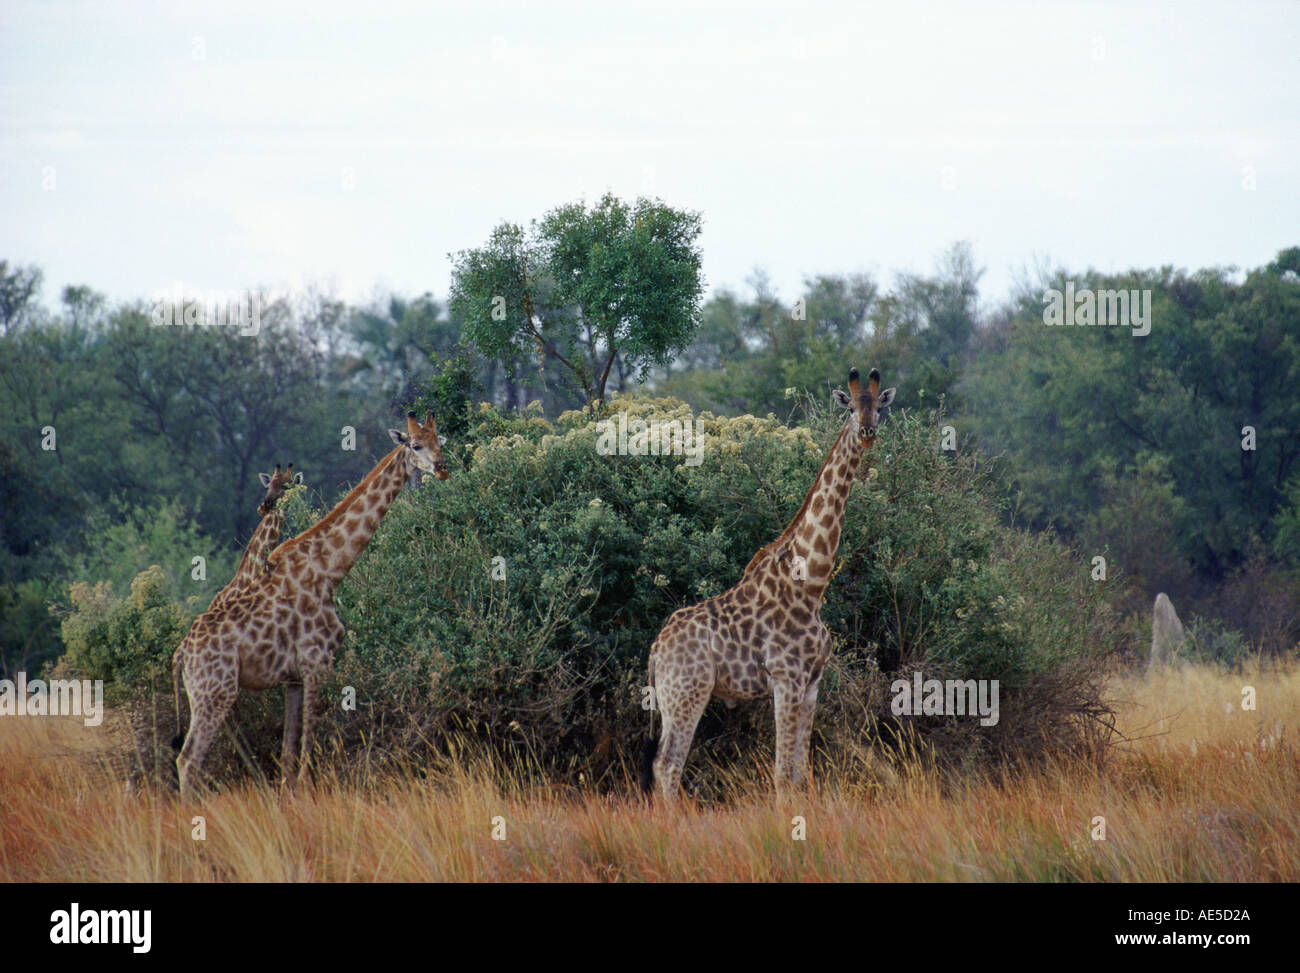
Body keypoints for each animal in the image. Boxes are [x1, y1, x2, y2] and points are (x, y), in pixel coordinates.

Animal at [172, 413, 449, 796]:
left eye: (440, 441)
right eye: (416, 444)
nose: (442, 468)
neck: (329, 569)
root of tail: (182, 655)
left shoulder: (292, 678)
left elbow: (289, 753)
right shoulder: (318, 663)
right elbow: (309, 746)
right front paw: (306, 791)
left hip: (209, 694)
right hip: (215, 691)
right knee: (188, 760)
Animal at [639, 364, 894, 796]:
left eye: (880, 408)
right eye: (849, 409)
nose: (867, 431)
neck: (811, 585)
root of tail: (657, 650)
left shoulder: (812, 683)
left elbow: (802, 772)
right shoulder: (785, 677)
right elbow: (781, 774)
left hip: (678, 695)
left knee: (663, 765)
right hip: (686, 691)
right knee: (668, 765)